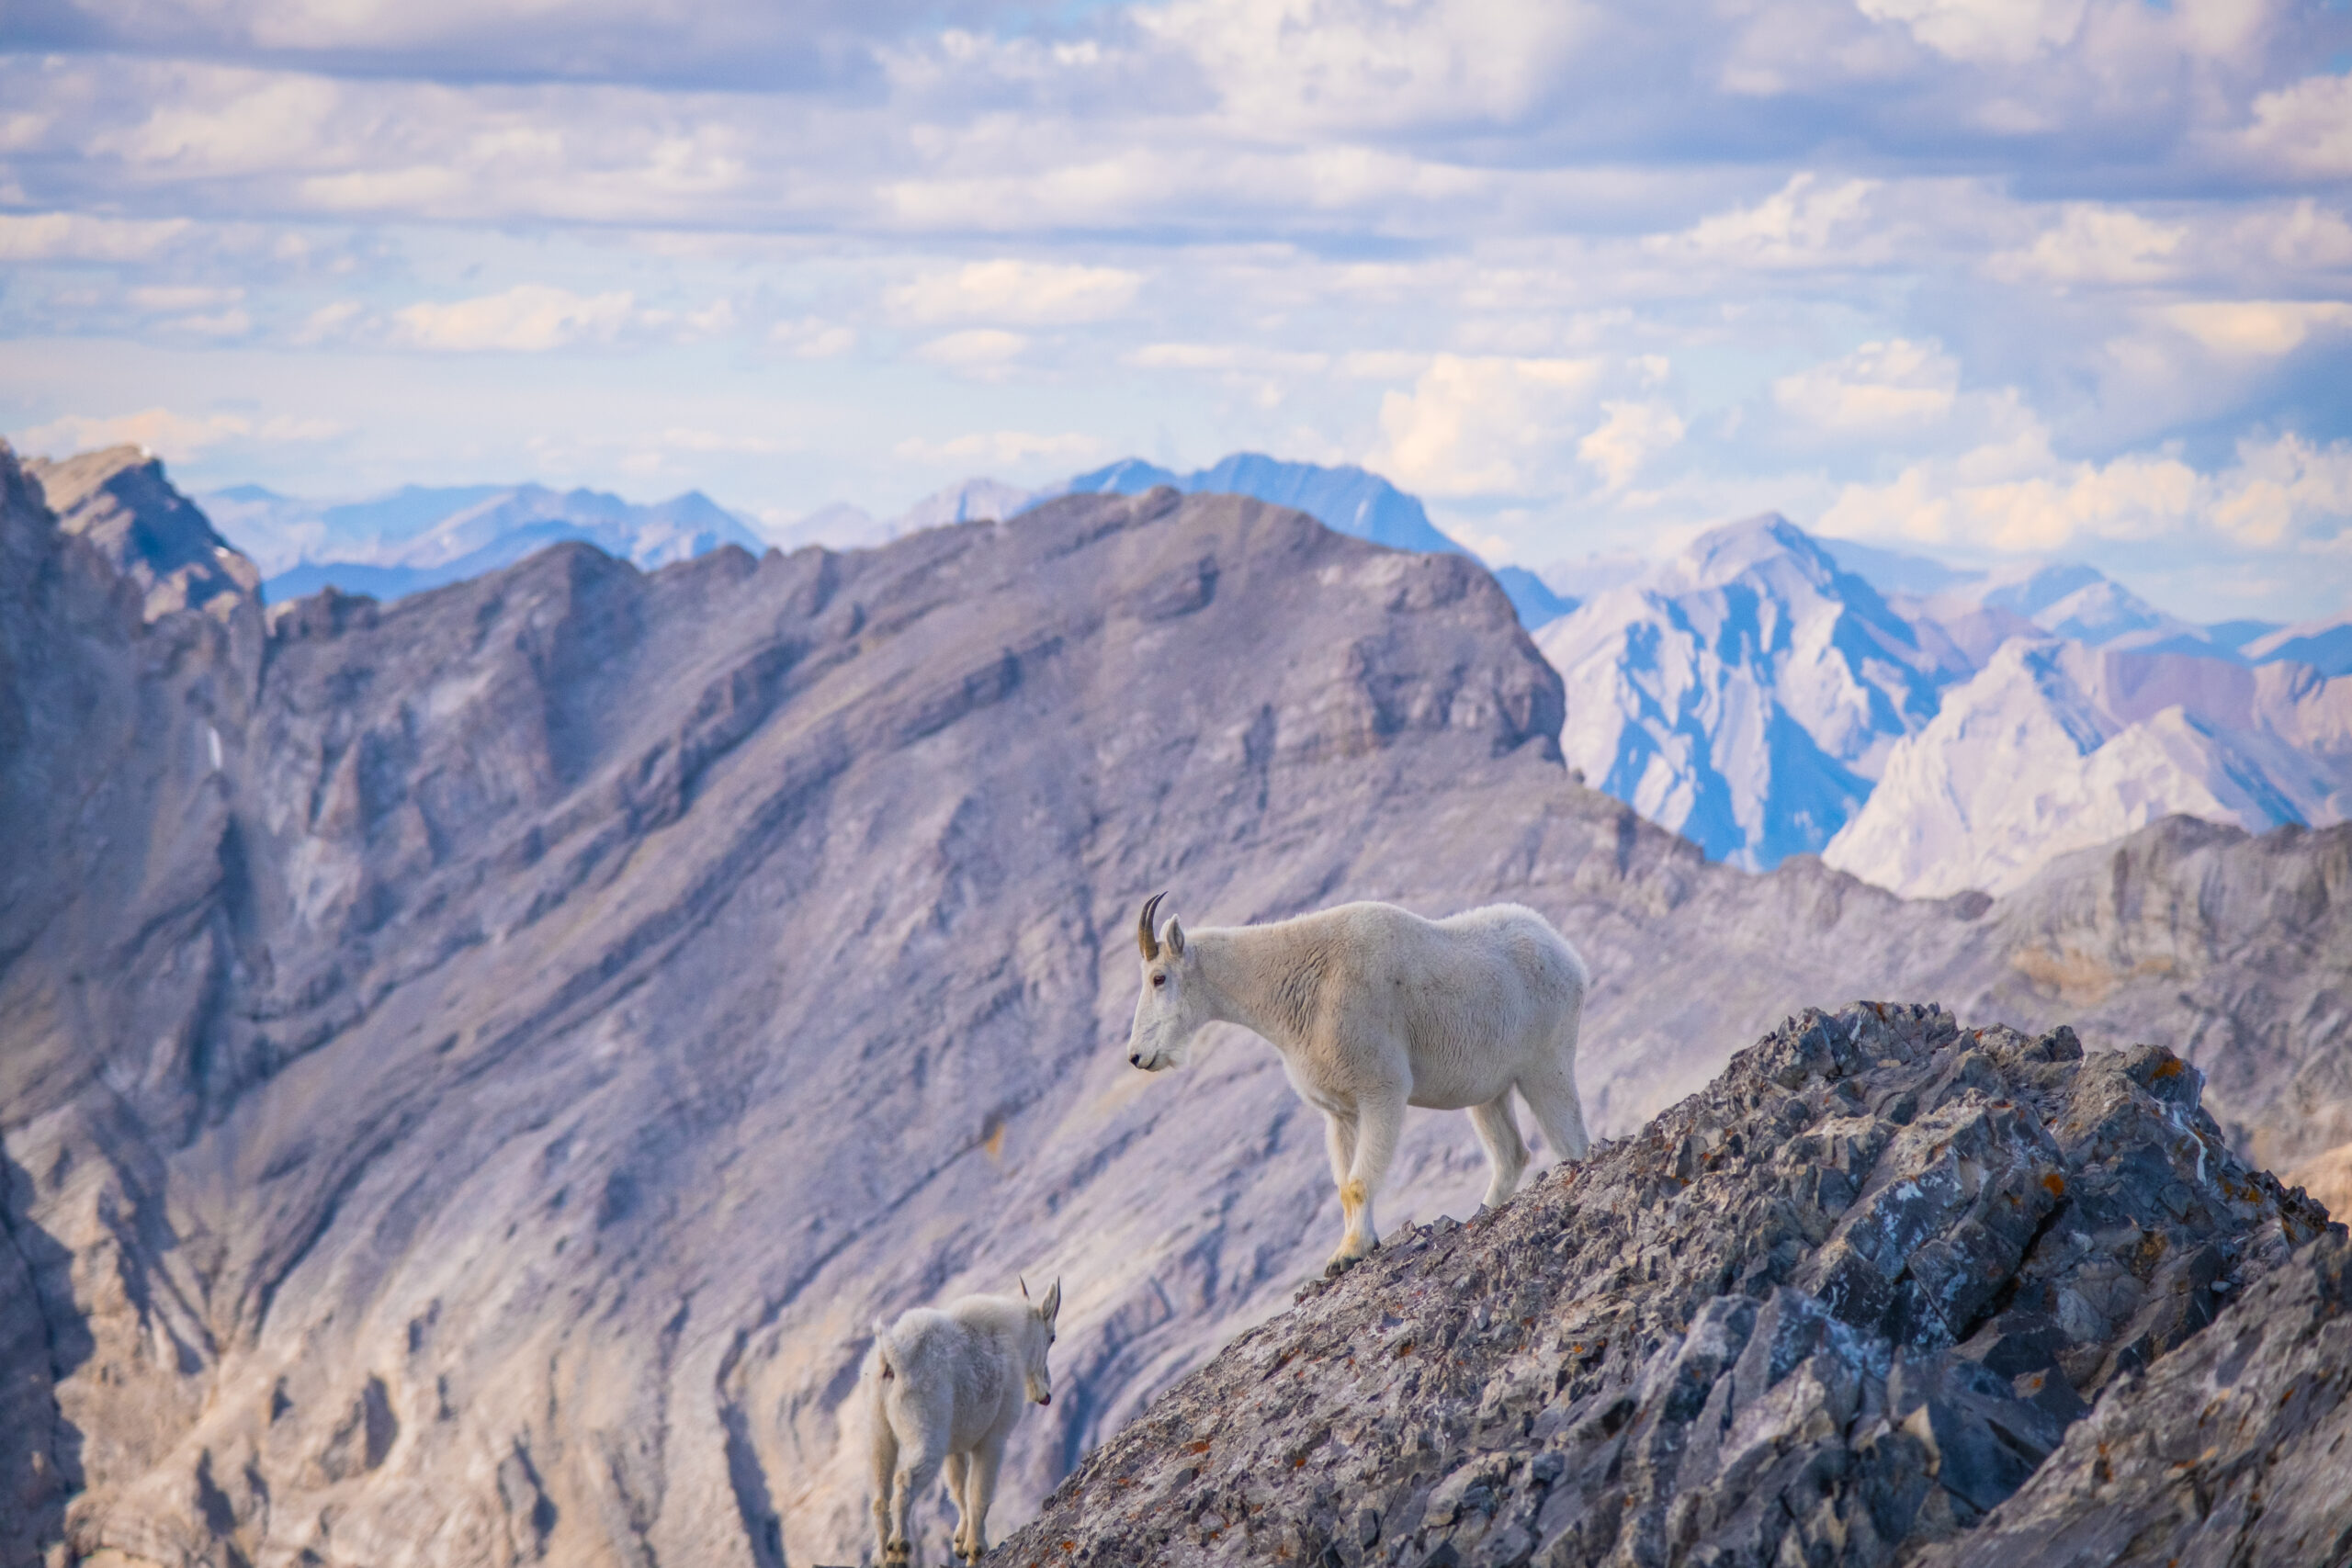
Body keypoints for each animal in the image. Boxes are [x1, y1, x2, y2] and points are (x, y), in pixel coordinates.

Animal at [870, 1279, 1063, 1561]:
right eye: (1052, 1338)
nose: (1046, 1394)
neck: (1014, 1338)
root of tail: (893, 1357)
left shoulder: (956, 1447)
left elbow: (959, 1489)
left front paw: (960, 1543)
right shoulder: (994, 1439)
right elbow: (978, 1494)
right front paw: (975, 1549)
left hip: (877, 1433)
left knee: (879, 1496)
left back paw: (882, 1557)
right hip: (926, 1433)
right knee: (904, 1480)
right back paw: (899, 1548)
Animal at [1128, 893, 1589, 1279]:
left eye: (1158, 978)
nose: (1136, 1056)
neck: (1298, 983)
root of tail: (1567, 955)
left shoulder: (1381, 1089)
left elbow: (1358, 1181)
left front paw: (1351, 1253)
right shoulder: (1341, 1111)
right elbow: (1343, 1187)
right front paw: (1346, 1251)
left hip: (1545, 1062)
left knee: (1569, 1137)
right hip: (1489, 1087)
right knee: (1510, 1151)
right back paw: (1479, 1214)